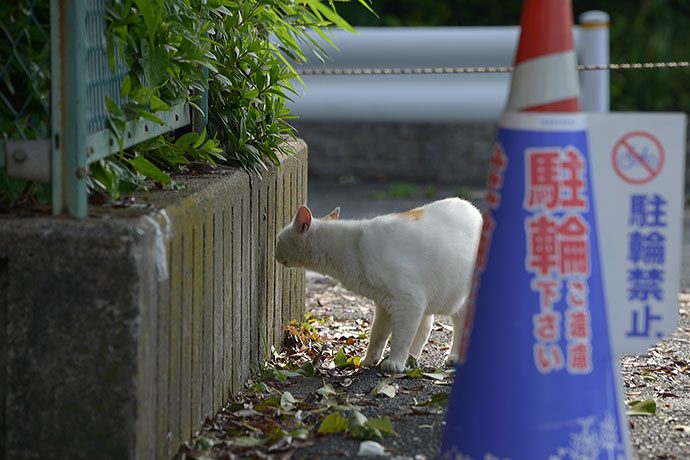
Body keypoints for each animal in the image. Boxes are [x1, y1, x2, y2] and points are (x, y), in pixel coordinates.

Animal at [276, 198, 482, 374]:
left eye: (277, 239)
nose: (274, 252)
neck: (354, 248)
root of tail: (475, 210)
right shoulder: (384, 305)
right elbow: (377, 336)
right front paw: (370, 360)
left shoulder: (408, 303)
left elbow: (400, 338)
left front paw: (395, 362)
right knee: (425, 328)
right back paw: (413, 358)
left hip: (459, 299)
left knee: (459, 327)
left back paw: (453, 357)